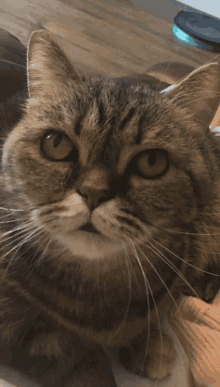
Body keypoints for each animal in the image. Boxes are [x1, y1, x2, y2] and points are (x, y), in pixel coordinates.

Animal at [0, 28, 220, 387]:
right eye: (55, 143)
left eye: (152, 162)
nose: (94, 193)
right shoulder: (18, 330)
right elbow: (72, 354)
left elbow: (160, 307)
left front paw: (148, 343)